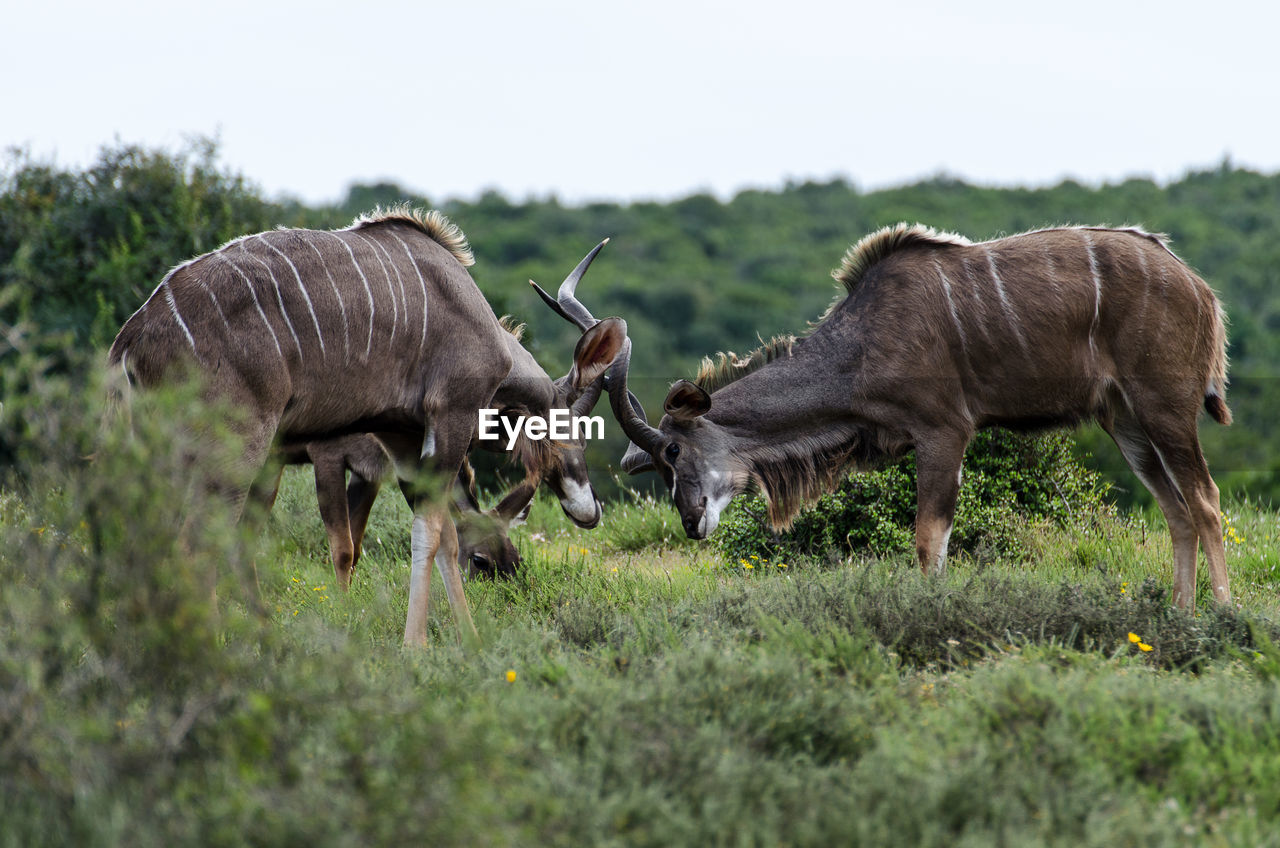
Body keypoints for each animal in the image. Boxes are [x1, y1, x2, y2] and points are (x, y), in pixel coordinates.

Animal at [107, 211, 627, 645]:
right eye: (576, 429)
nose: (589, 510)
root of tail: (133, 337)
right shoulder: (448, 417)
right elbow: (425, 535)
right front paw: (414, 648)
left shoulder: (402, 439)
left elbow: (444, 535)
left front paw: (471, 642)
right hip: (234, 453)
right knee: (197, 545)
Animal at [606, 224, 1228, 612]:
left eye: (674, 451)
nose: (692, 521)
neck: (860, 346)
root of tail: (1200, 289)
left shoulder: (944, 432)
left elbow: (929, 538)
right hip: (1124, 420)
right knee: (1176, 510)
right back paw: (1179, 615)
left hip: (1165, 406)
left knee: (1205, 500)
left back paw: (1221, 617)